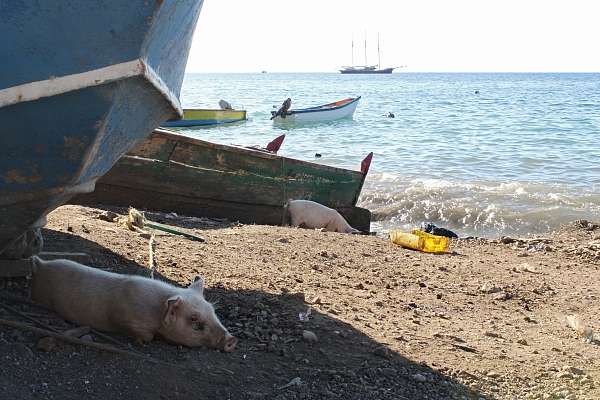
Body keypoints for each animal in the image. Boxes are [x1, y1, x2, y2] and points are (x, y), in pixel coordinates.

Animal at [29, 258, 237, 352]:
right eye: (194, 320)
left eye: (213, 311)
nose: (232, 339)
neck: (156, 310)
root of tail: (42, 264)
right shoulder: (127, 320)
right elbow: (145, 337)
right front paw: (142, 342)